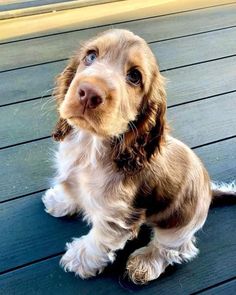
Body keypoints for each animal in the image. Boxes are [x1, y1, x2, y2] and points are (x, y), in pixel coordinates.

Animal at [42, 29, 236, 284]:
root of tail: (210, 191)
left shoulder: (117, 216)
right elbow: (70, 189)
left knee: (175, 248)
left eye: (134, 76)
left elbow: (98, 240)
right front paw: (59, 200)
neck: (90, 145)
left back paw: (144, 263)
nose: (88, 93)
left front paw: (78, 259)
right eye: (90, 56)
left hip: (179, 225)